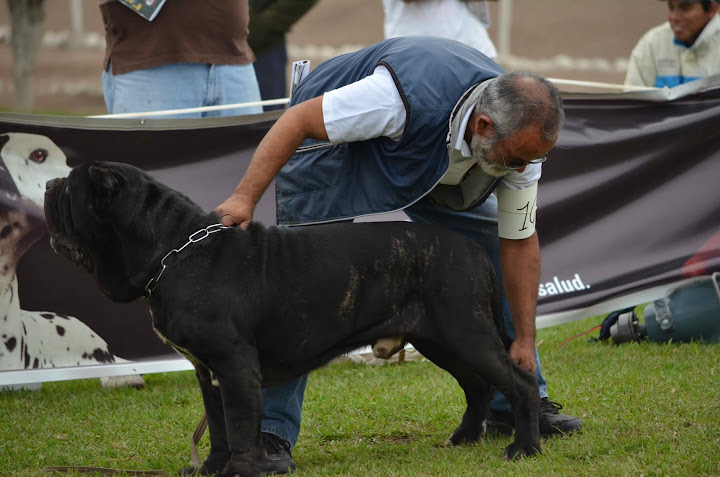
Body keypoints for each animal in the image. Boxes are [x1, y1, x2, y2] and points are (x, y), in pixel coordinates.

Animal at [43, 161, 540, 476]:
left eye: (69, 189)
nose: (48, 185)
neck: (174, 250)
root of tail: (473, 249)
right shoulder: (208, 371)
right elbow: (218, 427)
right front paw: (211, 468)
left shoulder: (235, 365)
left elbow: (241, 427)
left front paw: (241, 471)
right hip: (442, 339)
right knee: (477, 386)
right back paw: (464, 439)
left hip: (465, 333)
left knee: (519, 383)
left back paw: (524, 447)